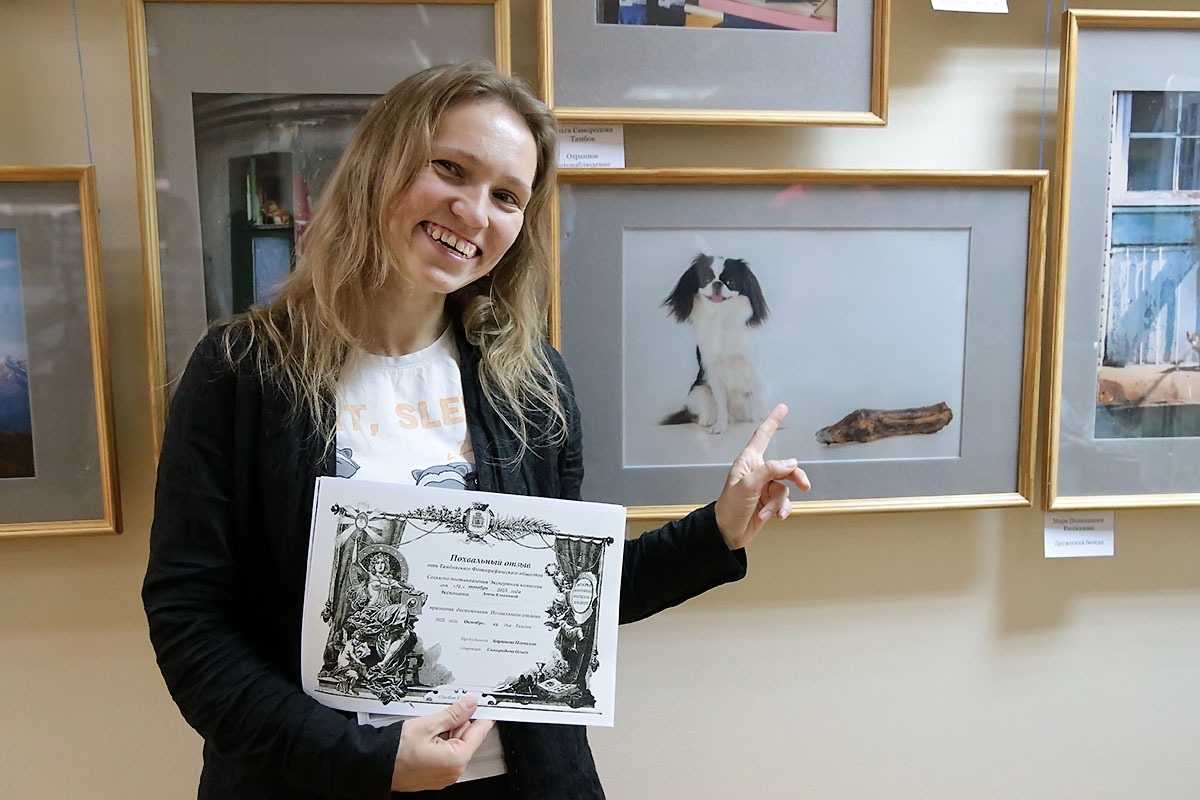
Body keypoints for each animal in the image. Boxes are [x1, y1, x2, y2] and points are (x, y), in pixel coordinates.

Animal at [659, 253, 769, 434]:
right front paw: (720, 427)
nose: (717, 283)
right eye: (705, 280)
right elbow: (721, 404)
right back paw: (707, 420)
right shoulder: (713, 371)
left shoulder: (752, 368)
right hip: (700, 390)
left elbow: (760, 399)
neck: (721, 316)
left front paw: (767, 421)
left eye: (731, 282)